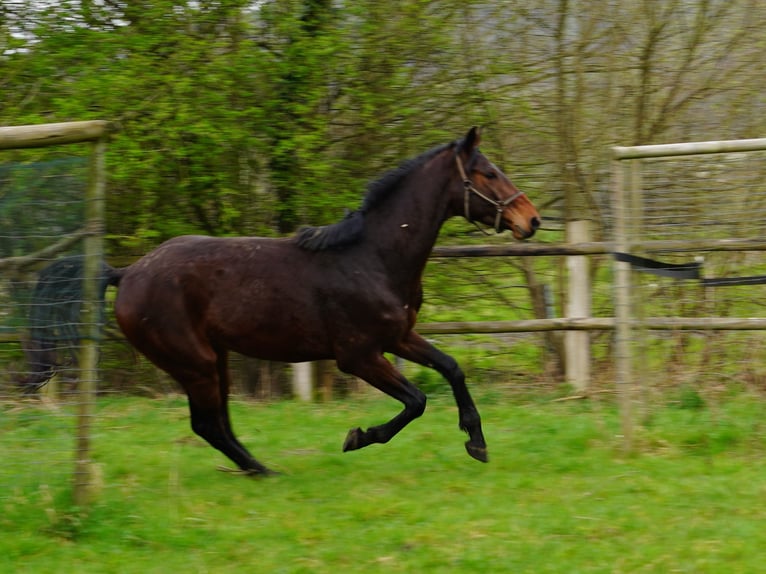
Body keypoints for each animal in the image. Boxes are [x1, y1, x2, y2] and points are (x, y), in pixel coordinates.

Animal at [109, 128, 540, 474]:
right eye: (489, 173)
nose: (531, 219)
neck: (371, 257)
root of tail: (128, 274)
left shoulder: (399, 338)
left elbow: (452, 368)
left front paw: (476, 442)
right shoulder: (358, 356)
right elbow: (416, 401)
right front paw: (358, 436)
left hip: (216, 359)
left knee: (218, 422)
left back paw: (255, 467)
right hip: (195, 364)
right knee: (207, 424)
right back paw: (262, 470)